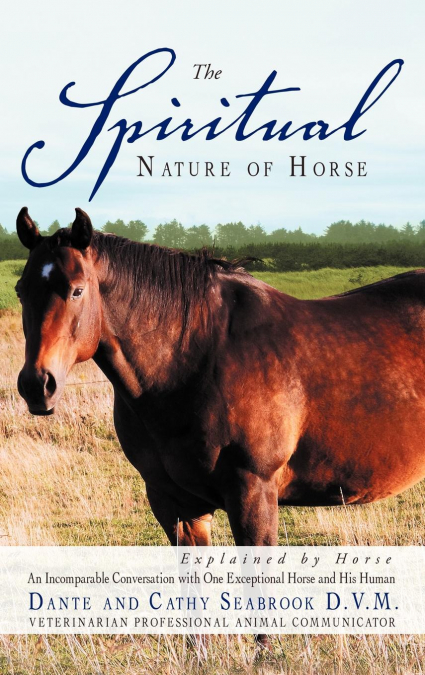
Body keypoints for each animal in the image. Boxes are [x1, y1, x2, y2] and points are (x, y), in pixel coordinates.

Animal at [15, 206, 425, 545]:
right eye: (21, 291)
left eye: (77, 290)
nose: (37, 385)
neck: (195, 359)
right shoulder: (176, 504)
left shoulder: (253, 494)